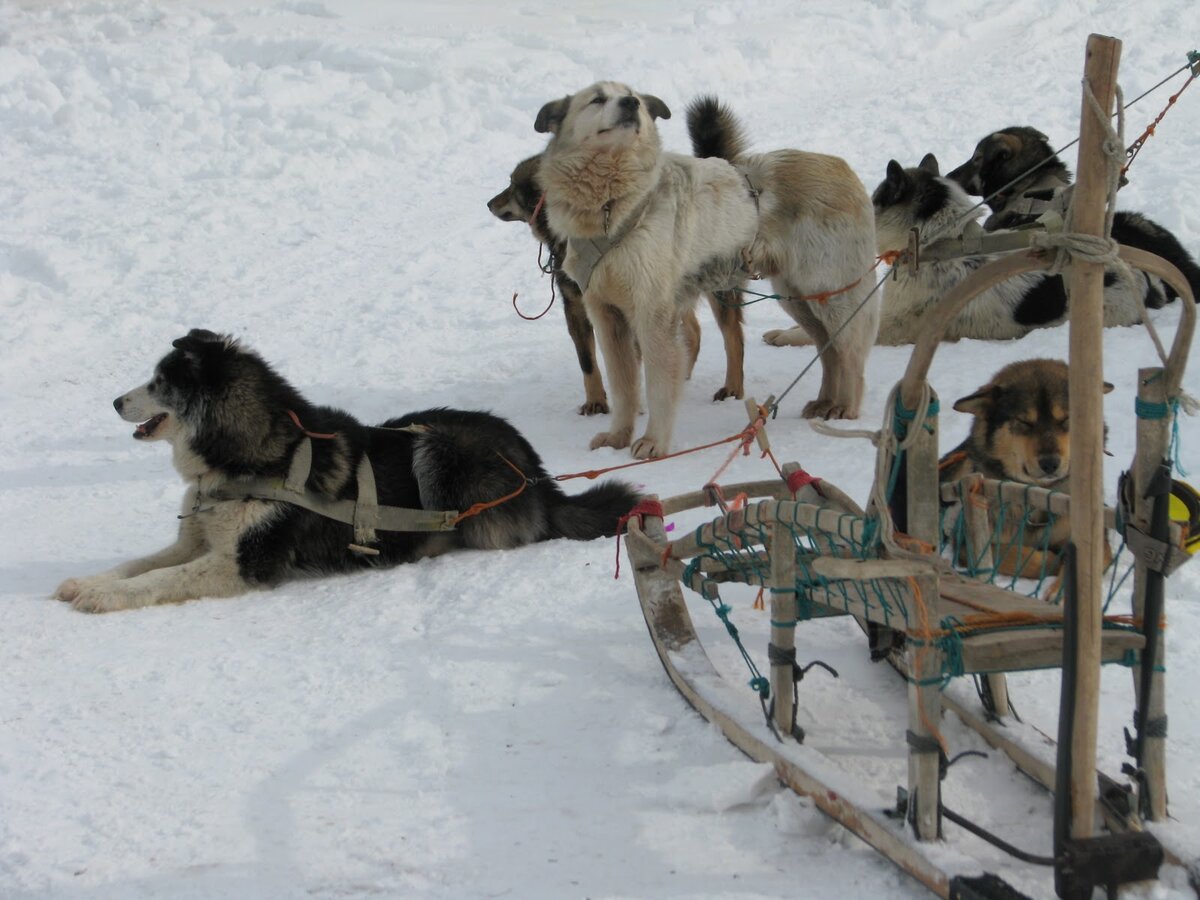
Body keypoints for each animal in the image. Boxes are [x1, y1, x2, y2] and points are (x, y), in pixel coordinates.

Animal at [535, 85, 883, 460]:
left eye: (632, 97)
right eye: (597, 98)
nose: (630, 103)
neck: (614, 207)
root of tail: (842, 168)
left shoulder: (653, 319)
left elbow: (657, 387)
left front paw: (654, 441)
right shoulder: (607, 317)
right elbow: (624, 387)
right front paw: (617, 437)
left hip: (832, 297)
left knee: (851, 355)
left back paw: (845, 407)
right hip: (797, 300)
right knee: (829, 350)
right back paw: (825, 401)